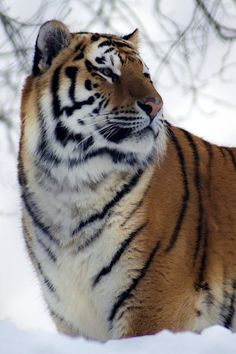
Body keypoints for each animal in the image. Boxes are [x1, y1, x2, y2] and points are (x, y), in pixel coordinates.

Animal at [18, 20, 236, 340]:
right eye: (107, 72)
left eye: (145, 74)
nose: (156, 105)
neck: (69, 187)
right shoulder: (73, 319)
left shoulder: (152, 306)